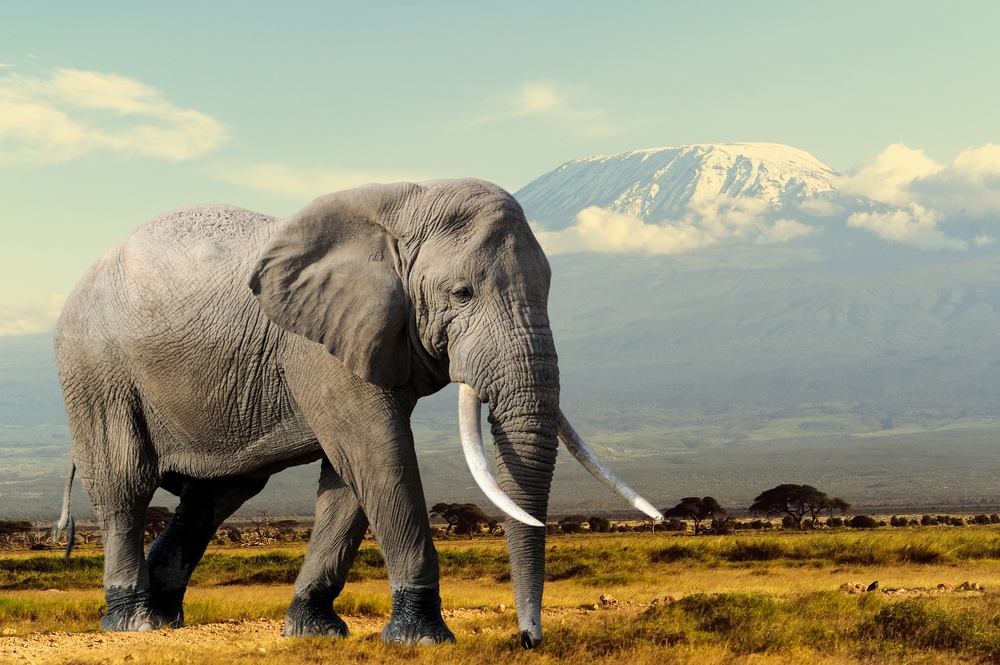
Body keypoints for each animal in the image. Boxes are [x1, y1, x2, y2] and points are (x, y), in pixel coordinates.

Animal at [51, 178, 661, 648]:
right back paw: (134, 622)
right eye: (461, 293)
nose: (528, 640)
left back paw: (164, 615)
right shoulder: (320, 344)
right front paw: (422, 639)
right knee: (126, 483)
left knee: (217, 495)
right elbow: (377, 452)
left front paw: (313, 631)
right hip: (95, 368)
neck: (406, 203)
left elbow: (349, 476)